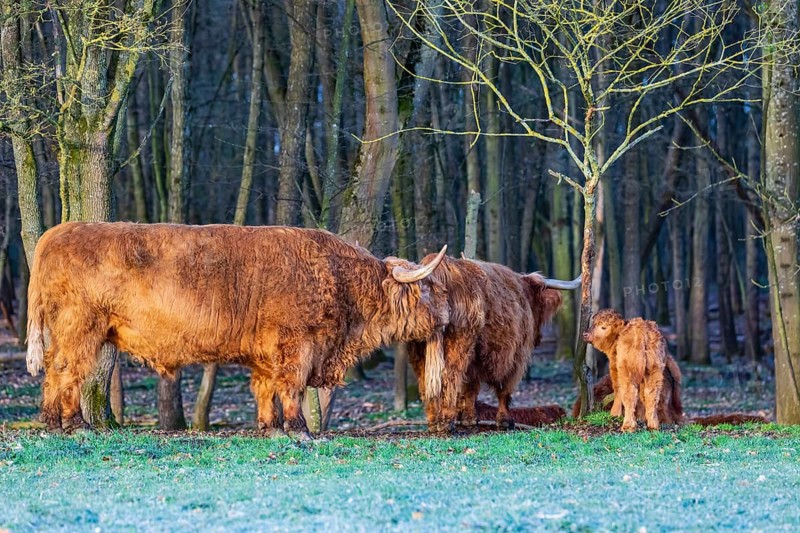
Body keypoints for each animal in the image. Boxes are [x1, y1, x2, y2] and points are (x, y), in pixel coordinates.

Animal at [26, 222, 449, 439]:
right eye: (429, 289)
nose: (447, 316)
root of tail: (56, 232)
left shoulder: (266, 351)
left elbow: (264, 388)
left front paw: (269, 429)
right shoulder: (297, 344)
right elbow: (291, 387)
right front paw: (300, 432)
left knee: (56, 371)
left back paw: (56, 424)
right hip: (80, 326)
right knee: (65, 371)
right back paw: (73, 427)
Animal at [409, 255, 577, 432]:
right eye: (538, 306)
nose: (539, 338)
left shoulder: (474, 358)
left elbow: (471, 386)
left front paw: (469, 419)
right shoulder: (516, 355)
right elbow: (504, 388)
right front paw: (504, 421)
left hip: (420, 347)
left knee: (426, 379)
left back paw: (434, 422)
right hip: (458, 344)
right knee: (449, 375)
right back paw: (445, 423)